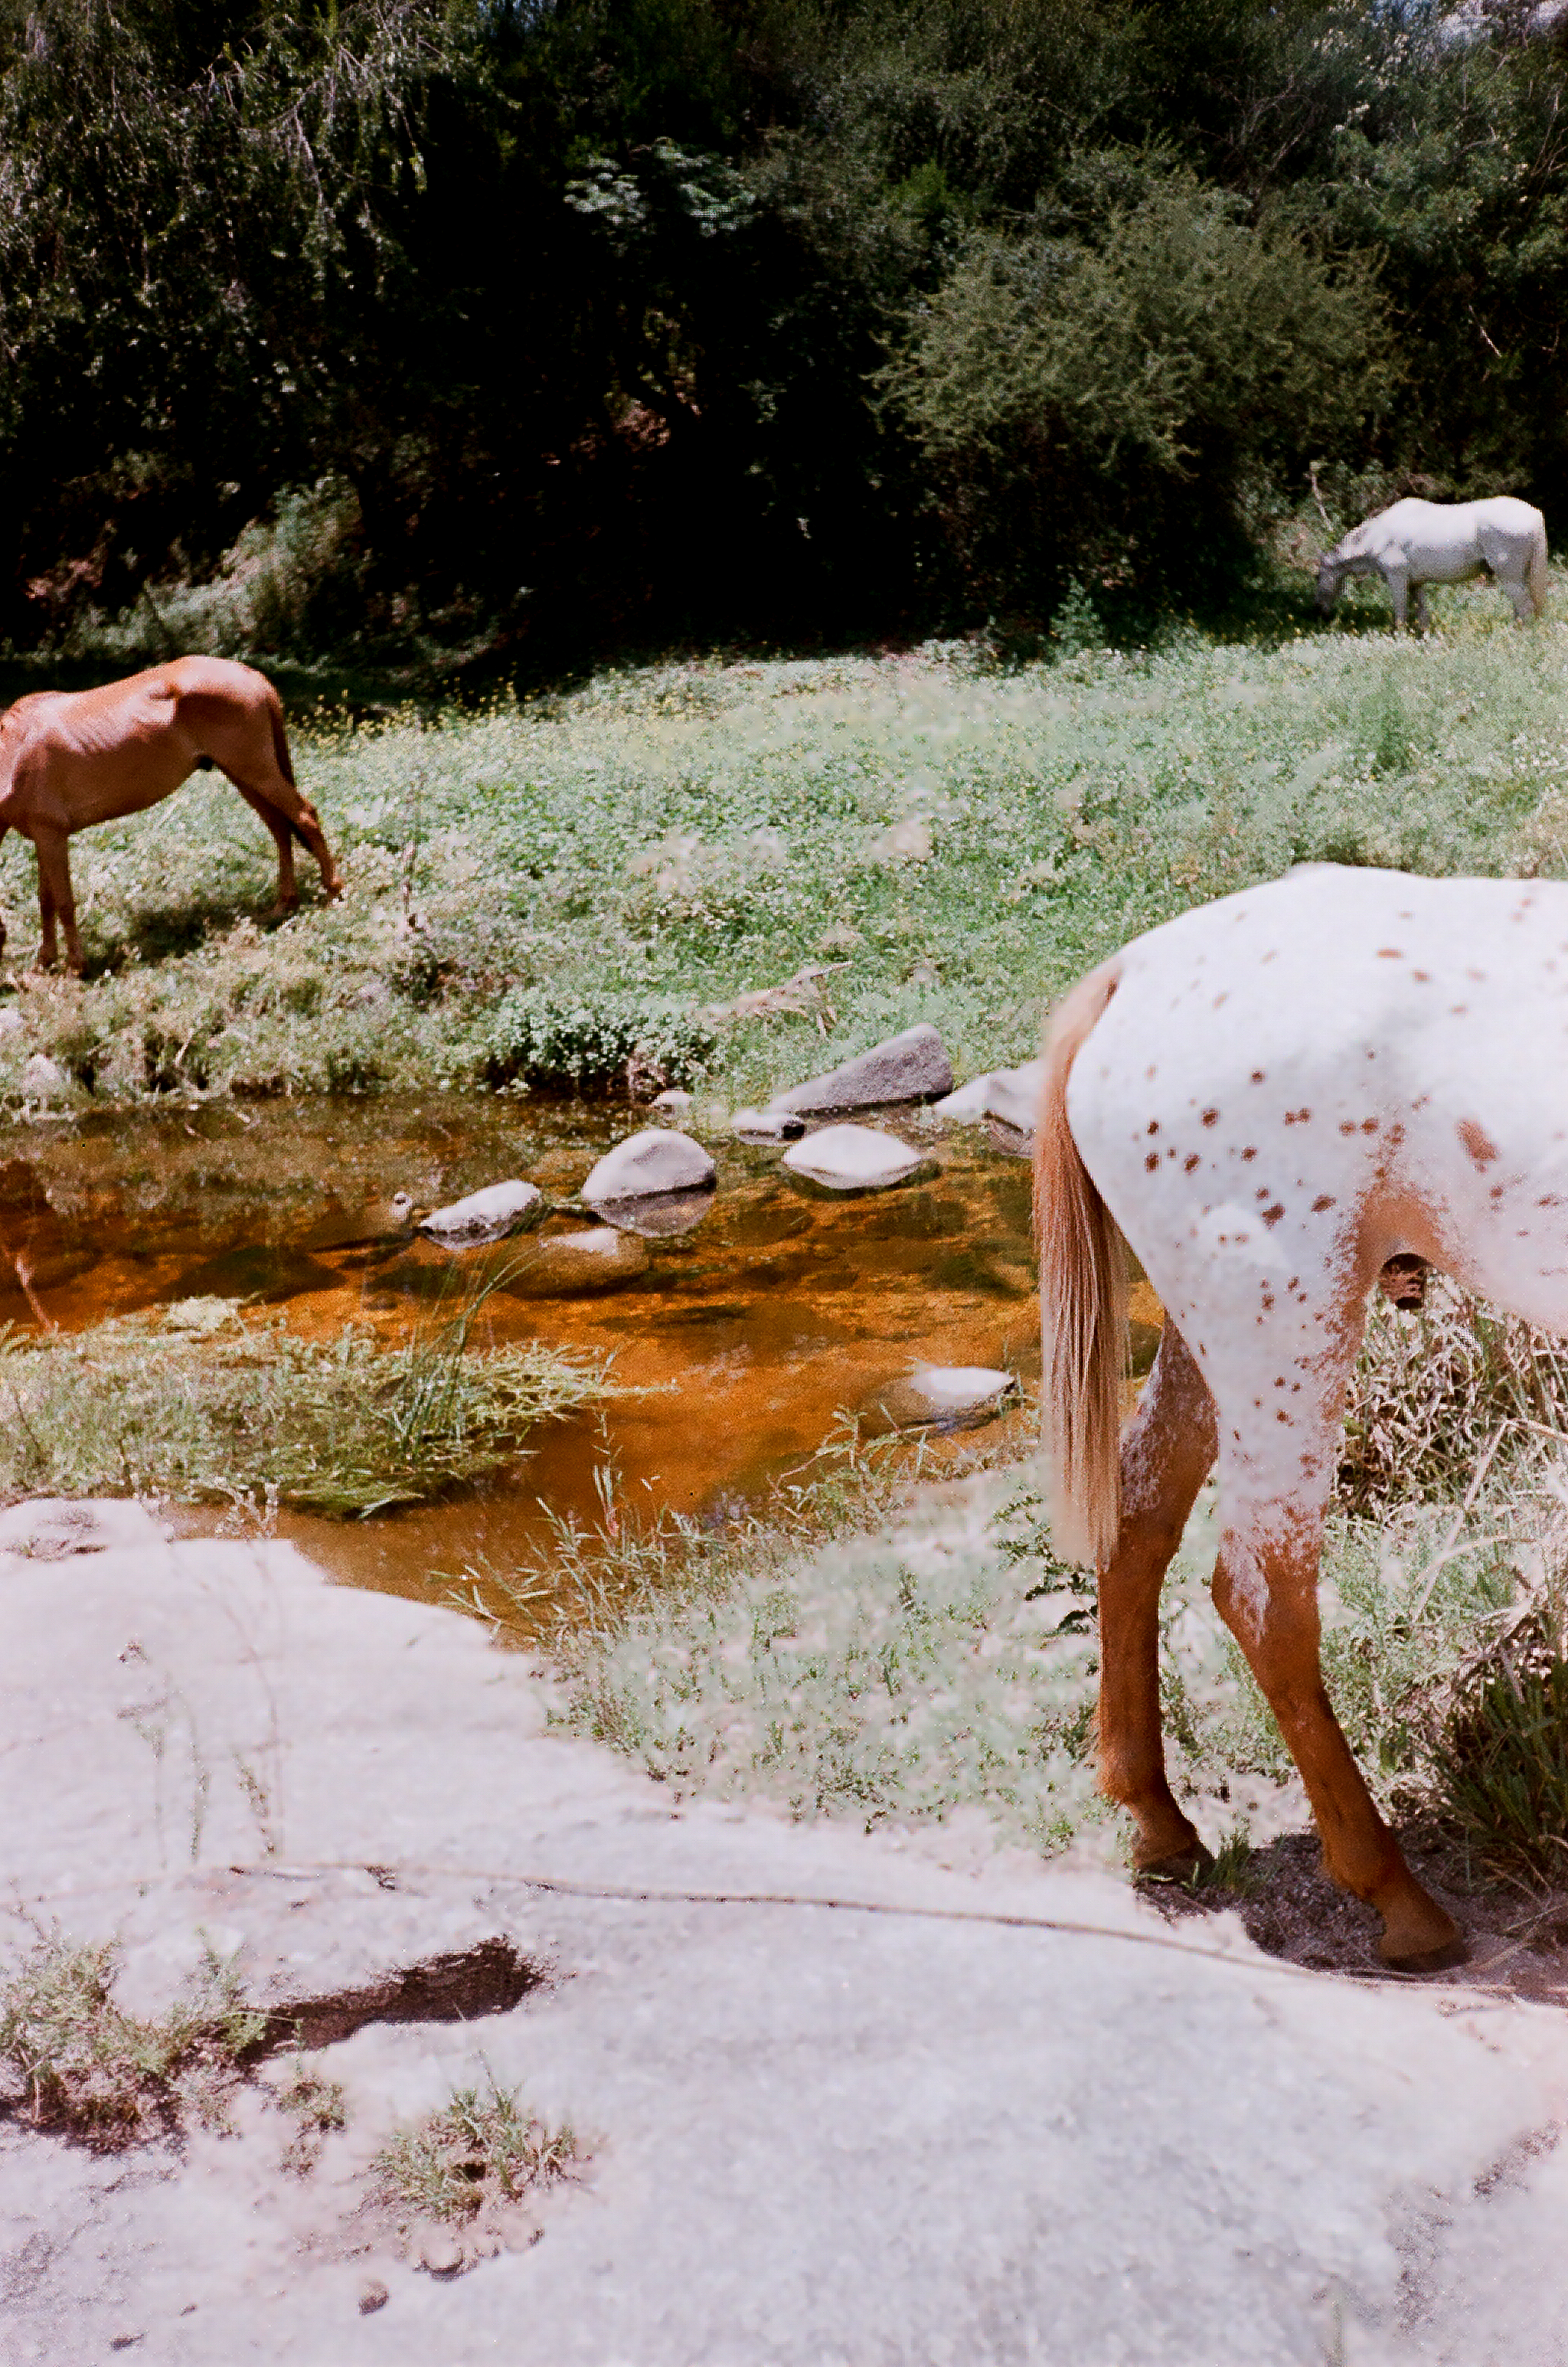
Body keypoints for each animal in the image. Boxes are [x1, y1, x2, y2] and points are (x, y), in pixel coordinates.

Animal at [0, 656, 342, 974]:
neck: (16, 750)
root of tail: (251, 675)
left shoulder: (52, 834)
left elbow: (63, 902)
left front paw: (76, 967)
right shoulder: (44, 836)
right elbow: (46, 901)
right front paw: (44, 962)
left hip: (256, 771)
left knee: (304, 816)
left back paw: (332, 892)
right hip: (245, 776)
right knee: (280, 828)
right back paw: (283, 905)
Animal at [1034, 861, 1568, 1971]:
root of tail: (1136, 969)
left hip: (1216, 1334)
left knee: (1139, 1512)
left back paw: (1158, 1820)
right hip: (1285, 1327)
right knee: (1260, 1594)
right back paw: (1394, 1895)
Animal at [1315, 495, 1548, 630]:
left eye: (1318, 576)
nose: (1320, 611)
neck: (1378, 536)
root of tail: (1535, 514)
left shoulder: (1397, 579)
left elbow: (1401, 615)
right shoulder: (1416, 584)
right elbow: (1422, 615)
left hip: (1509, 578)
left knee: (1526, 607)